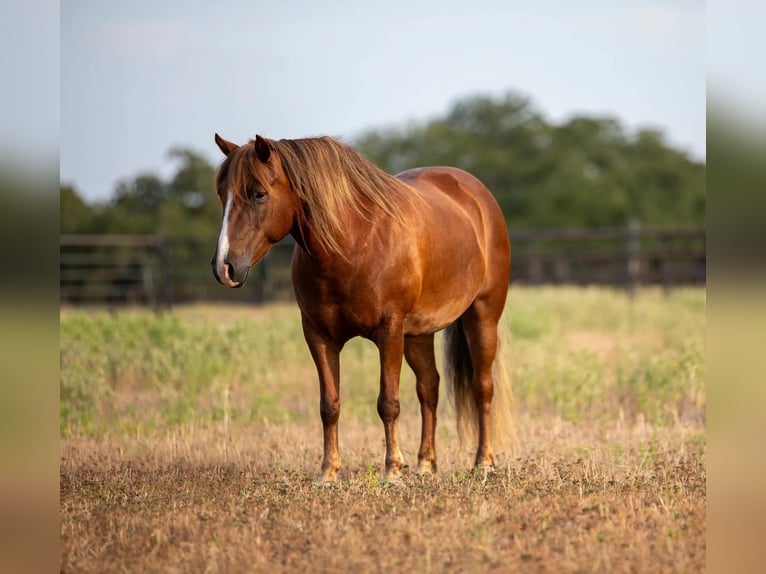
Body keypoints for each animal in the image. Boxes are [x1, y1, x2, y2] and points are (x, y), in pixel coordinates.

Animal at [210, 133, 516, 484]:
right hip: (418, 335)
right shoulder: (318, 336)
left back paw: (483, 462)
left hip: (482, 316)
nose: (224, 267)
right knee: (429, 388)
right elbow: (329, 405)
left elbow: (388, 402)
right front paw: (328, 472)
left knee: (482, 387)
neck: (352, 244)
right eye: (221, 194)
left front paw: (392, 470)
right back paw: (425, 464)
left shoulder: (389, 331)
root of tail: (476, 193)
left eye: (258, 194)